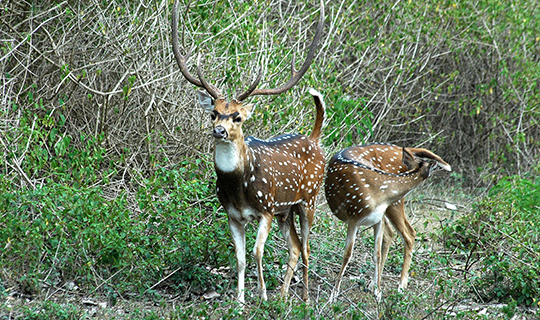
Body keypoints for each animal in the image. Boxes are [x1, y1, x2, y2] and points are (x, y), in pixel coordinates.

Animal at [171, 0, 326, 304]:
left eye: (238, 117)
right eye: (214, 114)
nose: (219, 130)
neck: (239, 188)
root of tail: (314, 139)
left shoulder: (266, 208)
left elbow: (257, 252)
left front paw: (261, 295)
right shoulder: (232, 213)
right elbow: (240, 257)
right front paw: (240, 301)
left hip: (309, 199)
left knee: (306, 248)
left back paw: (303, 299)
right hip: (286, 210)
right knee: (294, 247)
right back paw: (283, 297)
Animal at [324, 144, 452, 302]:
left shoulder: (377, 218)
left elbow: (376, 254)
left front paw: (378, 293)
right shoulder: (353, 216)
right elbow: (347, 254)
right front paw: (333, 295)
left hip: (393, 205)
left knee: (406, 233)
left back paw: (393, 285)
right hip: (392, 206)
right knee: (401, 233)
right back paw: (395, 285)